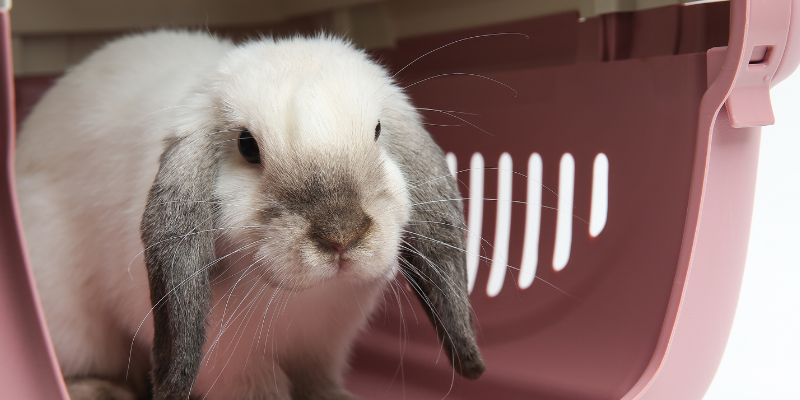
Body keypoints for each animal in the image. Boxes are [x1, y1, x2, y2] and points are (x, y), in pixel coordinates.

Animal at [15, 30, 484, 400]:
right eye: (247, 146)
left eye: (378, 131)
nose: (342, 236)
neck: (304, 299)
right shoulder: (234, 367)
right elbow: (264, 390)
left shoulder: (323, 351)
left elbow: (318, 384)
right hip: (73, 324)